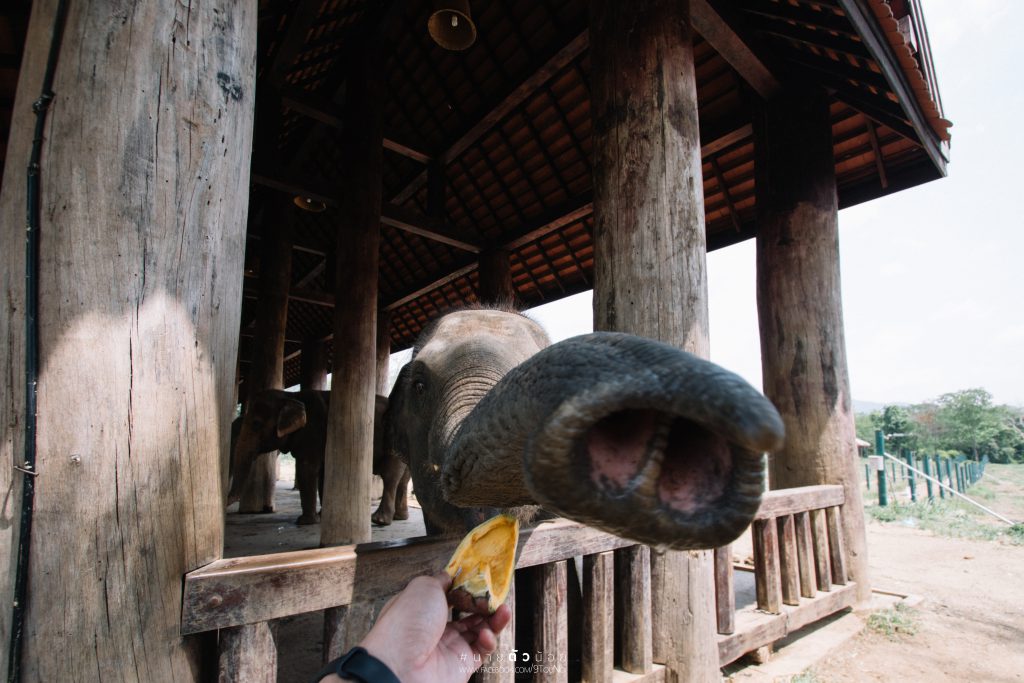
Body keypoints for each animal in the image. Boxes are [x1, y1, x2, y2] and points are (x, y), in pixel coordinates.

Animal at [228, 387, 411, 528]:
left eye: (256, 424)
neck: (291, 396)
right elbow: (323, 473)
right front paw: (322, 516)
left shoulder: (313, 433)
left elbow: (307, 469)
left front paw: (305, 521)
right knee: (403, 480)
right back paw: (399, 518)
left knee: (390, 476)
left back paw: (380, 520)